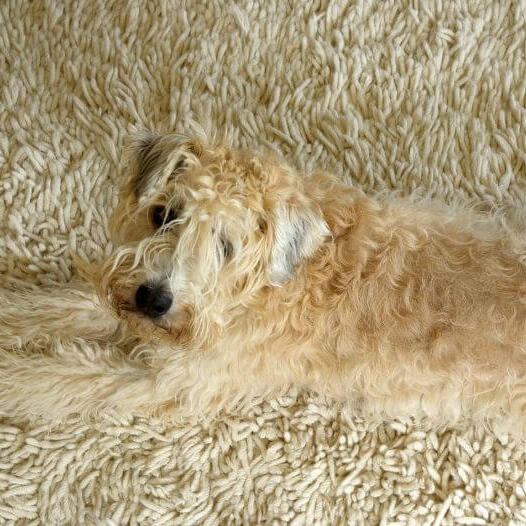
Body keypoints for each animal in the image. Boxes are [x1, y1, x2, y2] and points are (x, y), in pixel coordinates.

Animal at [1, 133, 526, 434]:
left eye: (226, 246)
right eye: (164, 213)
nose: (153, 299)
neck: (265, 290)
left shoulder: (171, 380)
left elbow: (55, 375)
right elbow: (63, 307)